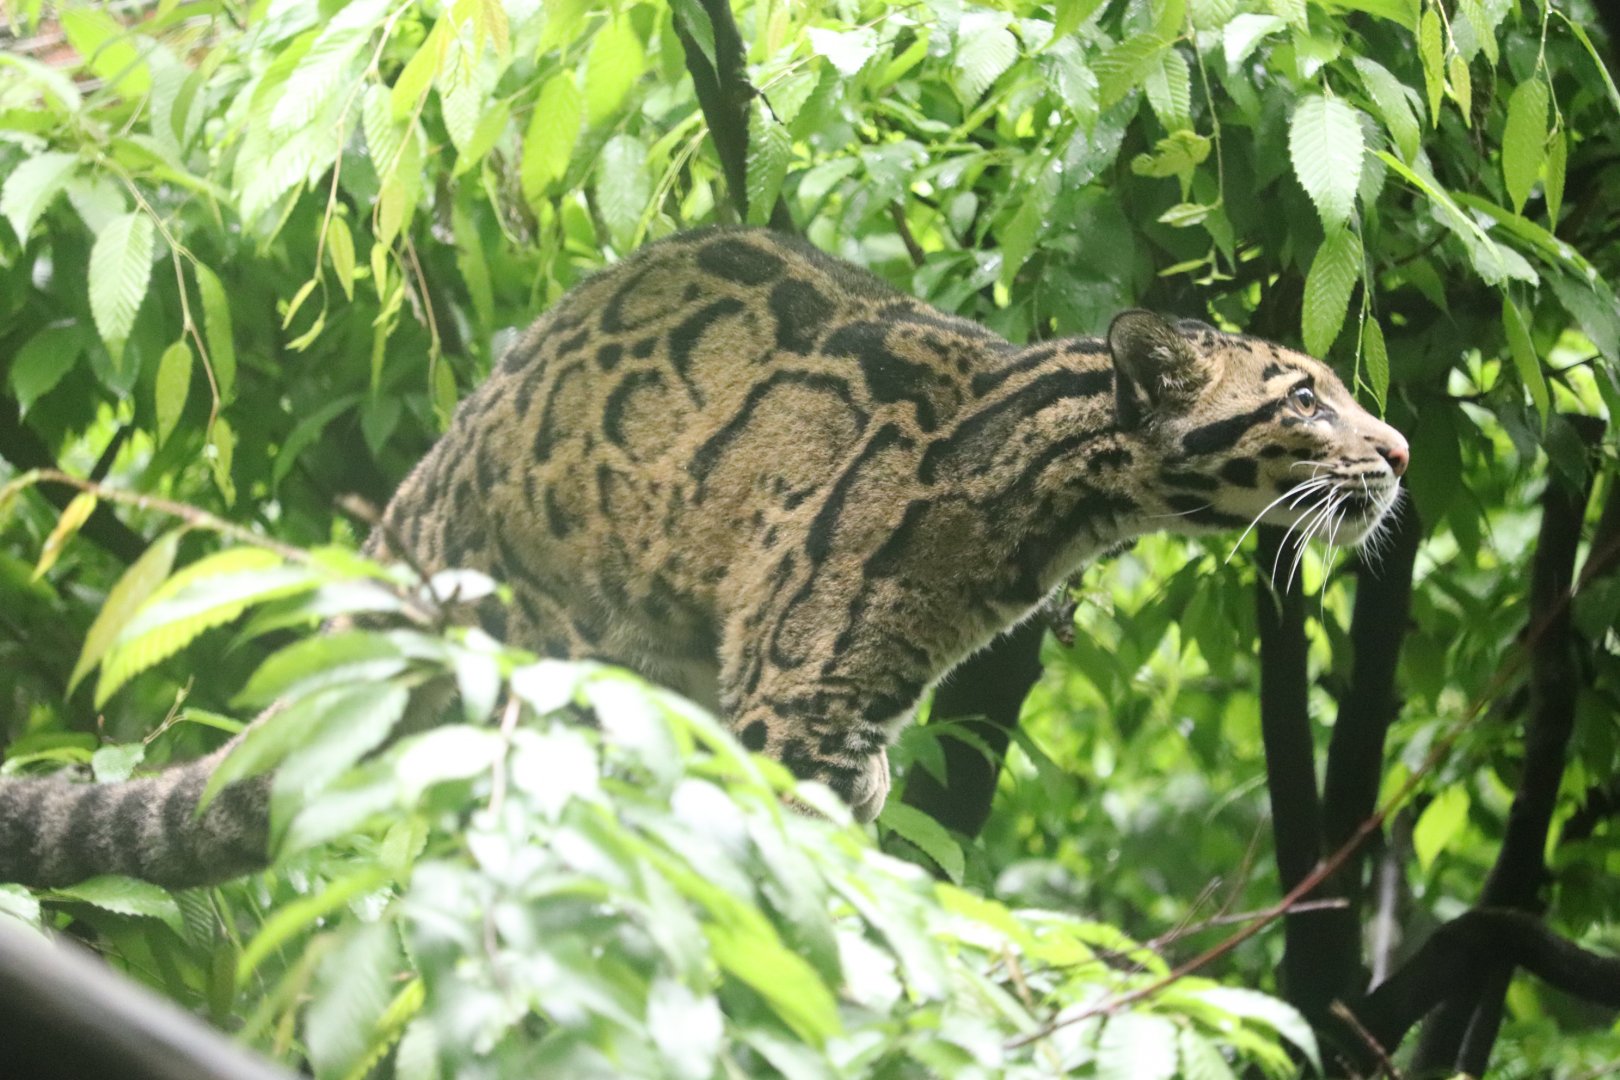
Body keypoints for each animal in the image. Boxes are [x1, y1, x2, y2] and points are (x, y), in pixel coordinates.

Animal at [0, 226, 1408, 887]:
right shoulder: (801, 698)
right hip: (543, 651)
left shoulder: (829, 720)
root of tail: (392, 544)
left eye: (1341, 391)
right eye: (1304, 400)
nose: (1398, 450)